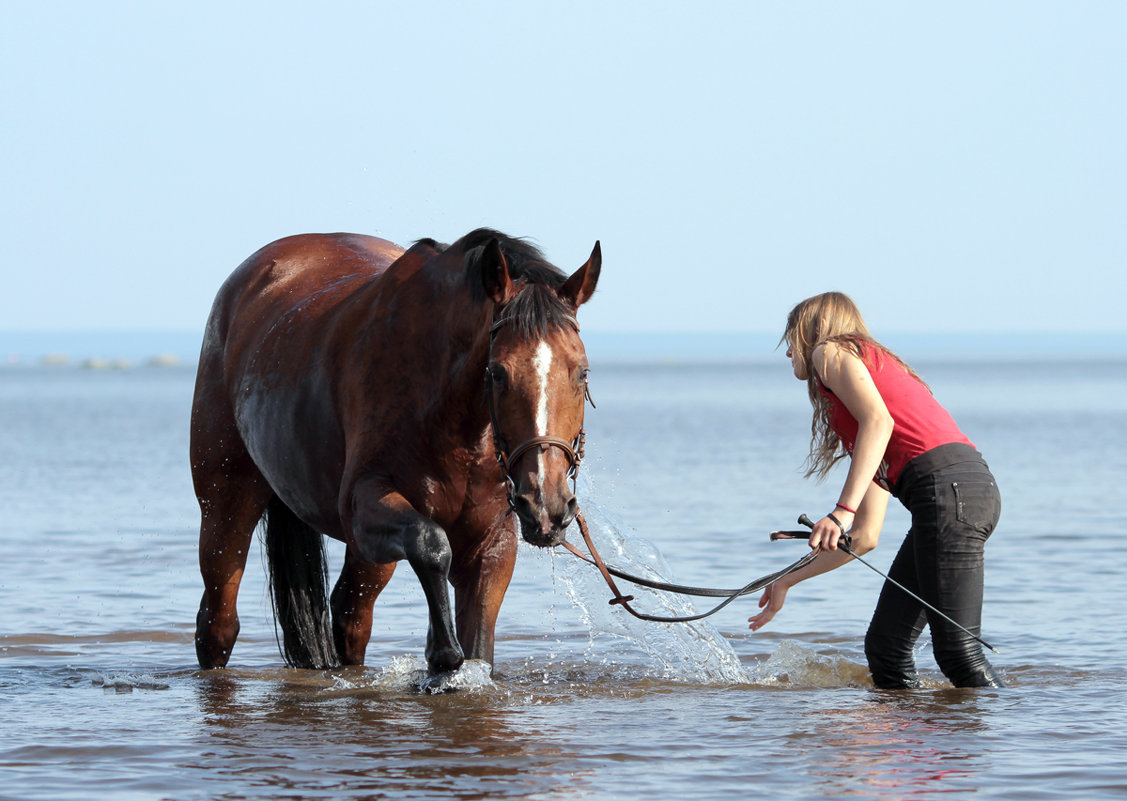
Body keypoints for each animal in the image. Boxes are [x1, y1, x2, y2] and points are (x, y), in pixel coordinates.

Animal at [191, 228, 599, 671]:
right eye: (496, 372)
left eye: (582, 372)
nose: (547, 505)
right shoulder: (363, 505)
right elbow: (430, 543)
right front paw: (442, 655)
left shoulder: (491, 543)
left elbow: (478, 641)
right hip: (226, 506)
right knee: (219, 621)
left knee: (351, 615)